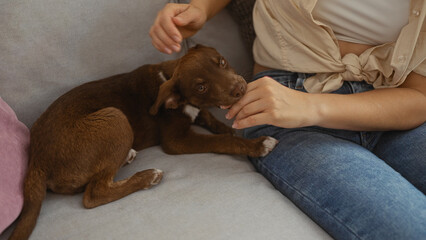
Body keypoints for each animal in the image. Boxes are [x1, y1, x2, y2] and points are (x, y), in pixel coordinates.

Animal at [10, 45, 280, 240]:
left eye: (222, 61)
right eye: (201, 86)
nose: (240, 88)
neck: (169, 78)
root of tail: (36, 160)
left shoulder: (198, 113)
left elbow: (213, 121)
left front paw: (232, 130)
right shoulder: (176, 141)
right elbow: (220, 141)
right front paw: (257, 145)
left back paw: (128, 157)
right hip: (115, 118)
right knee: (94, 193)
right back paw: (147, 176)